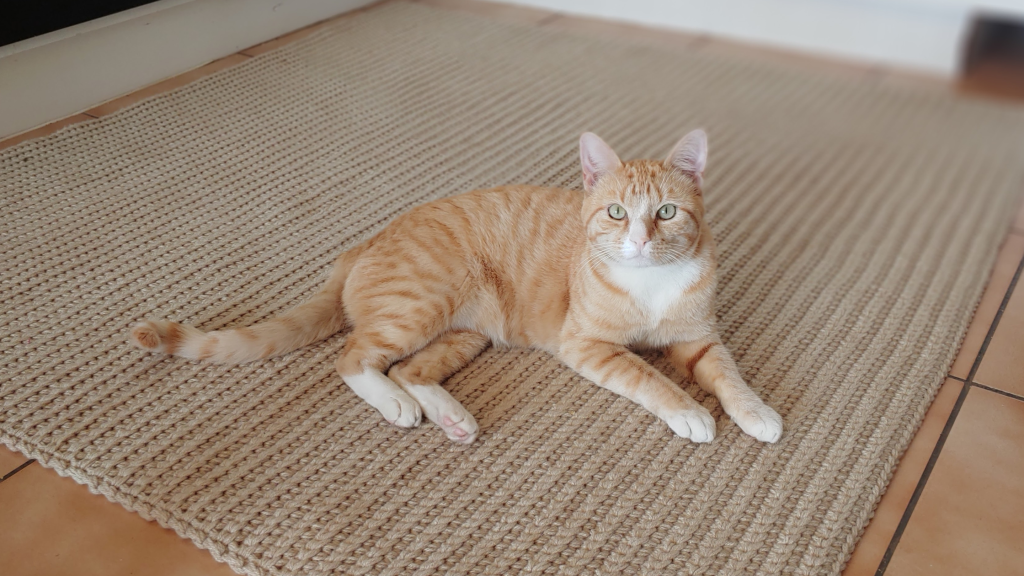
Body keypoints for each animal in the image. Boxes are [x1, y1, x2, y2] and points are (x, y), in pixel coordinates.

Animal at [128, 130, 782, 444]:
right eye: (617, 213)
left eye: (666, 213)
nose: (642, 241)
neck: (649, 282)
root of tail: (363, 244)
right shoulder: (590, 345)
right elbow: (651, 378)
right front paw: (688, 413)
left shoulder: (697, 339)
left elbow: (728, 377)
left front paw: (754, 413)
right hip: (422, 304)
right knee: (355, 359)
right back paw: (396, 405)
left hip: (466, 331)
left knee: (410, 369)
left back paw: (449, 417)